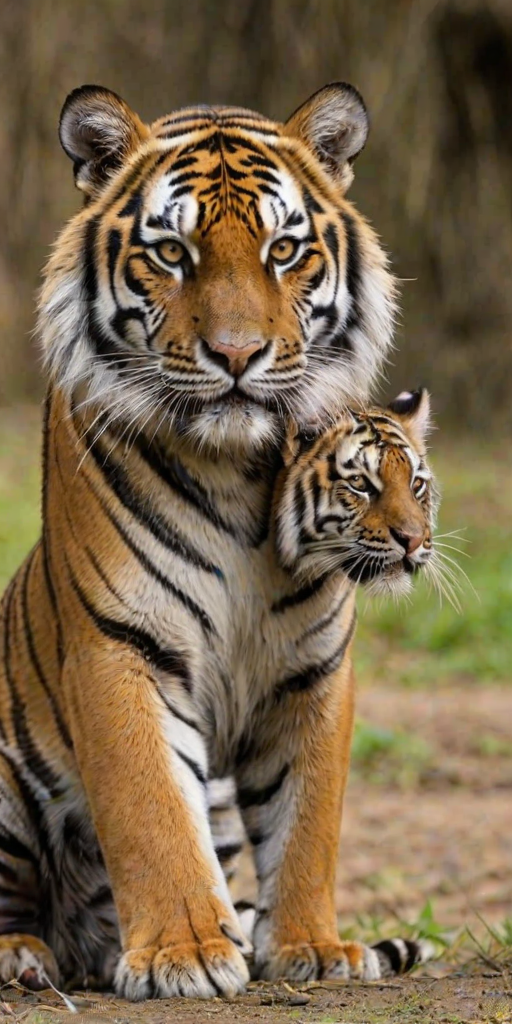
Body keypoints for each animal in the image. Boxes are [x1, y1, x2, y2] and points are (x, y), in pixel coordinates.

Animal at [0, 81, 410, 1000]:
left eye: (284, 249)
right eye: (172, 251)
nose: (236, 354)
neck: (237, 470)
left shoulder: (315, 664)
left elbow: (308, 821)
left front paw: (312, 946)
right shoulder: (118, 646)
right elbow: (150, 808)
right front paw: (184, 952)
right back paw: (24, 954)